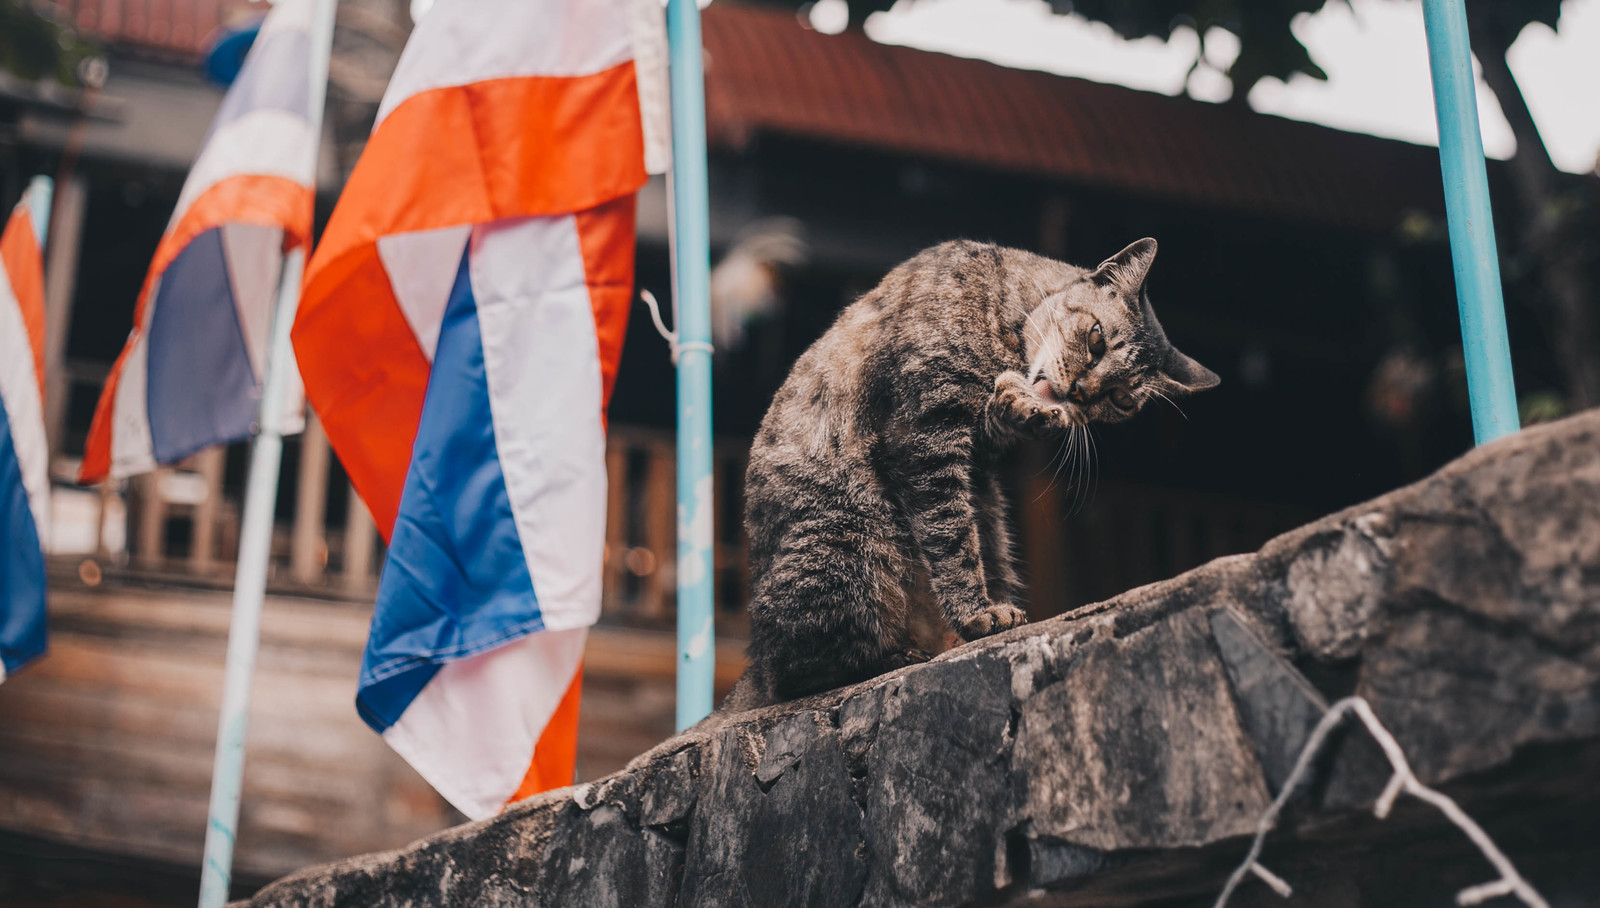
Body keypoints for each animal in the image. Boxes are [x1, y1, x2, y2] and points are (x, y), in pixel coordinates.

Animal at [723, 239, 1209, 709]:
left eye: (1121, 399)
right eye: (1095, 339)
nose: (1080, 393)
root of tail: (753, 665)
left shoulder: (977, 456)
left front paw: (1023, 406)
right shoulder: (925, 433)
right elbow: (952, 539)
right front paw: (977, 613)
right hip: (851, 542)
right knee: (795, 675)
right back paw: (892, 656)